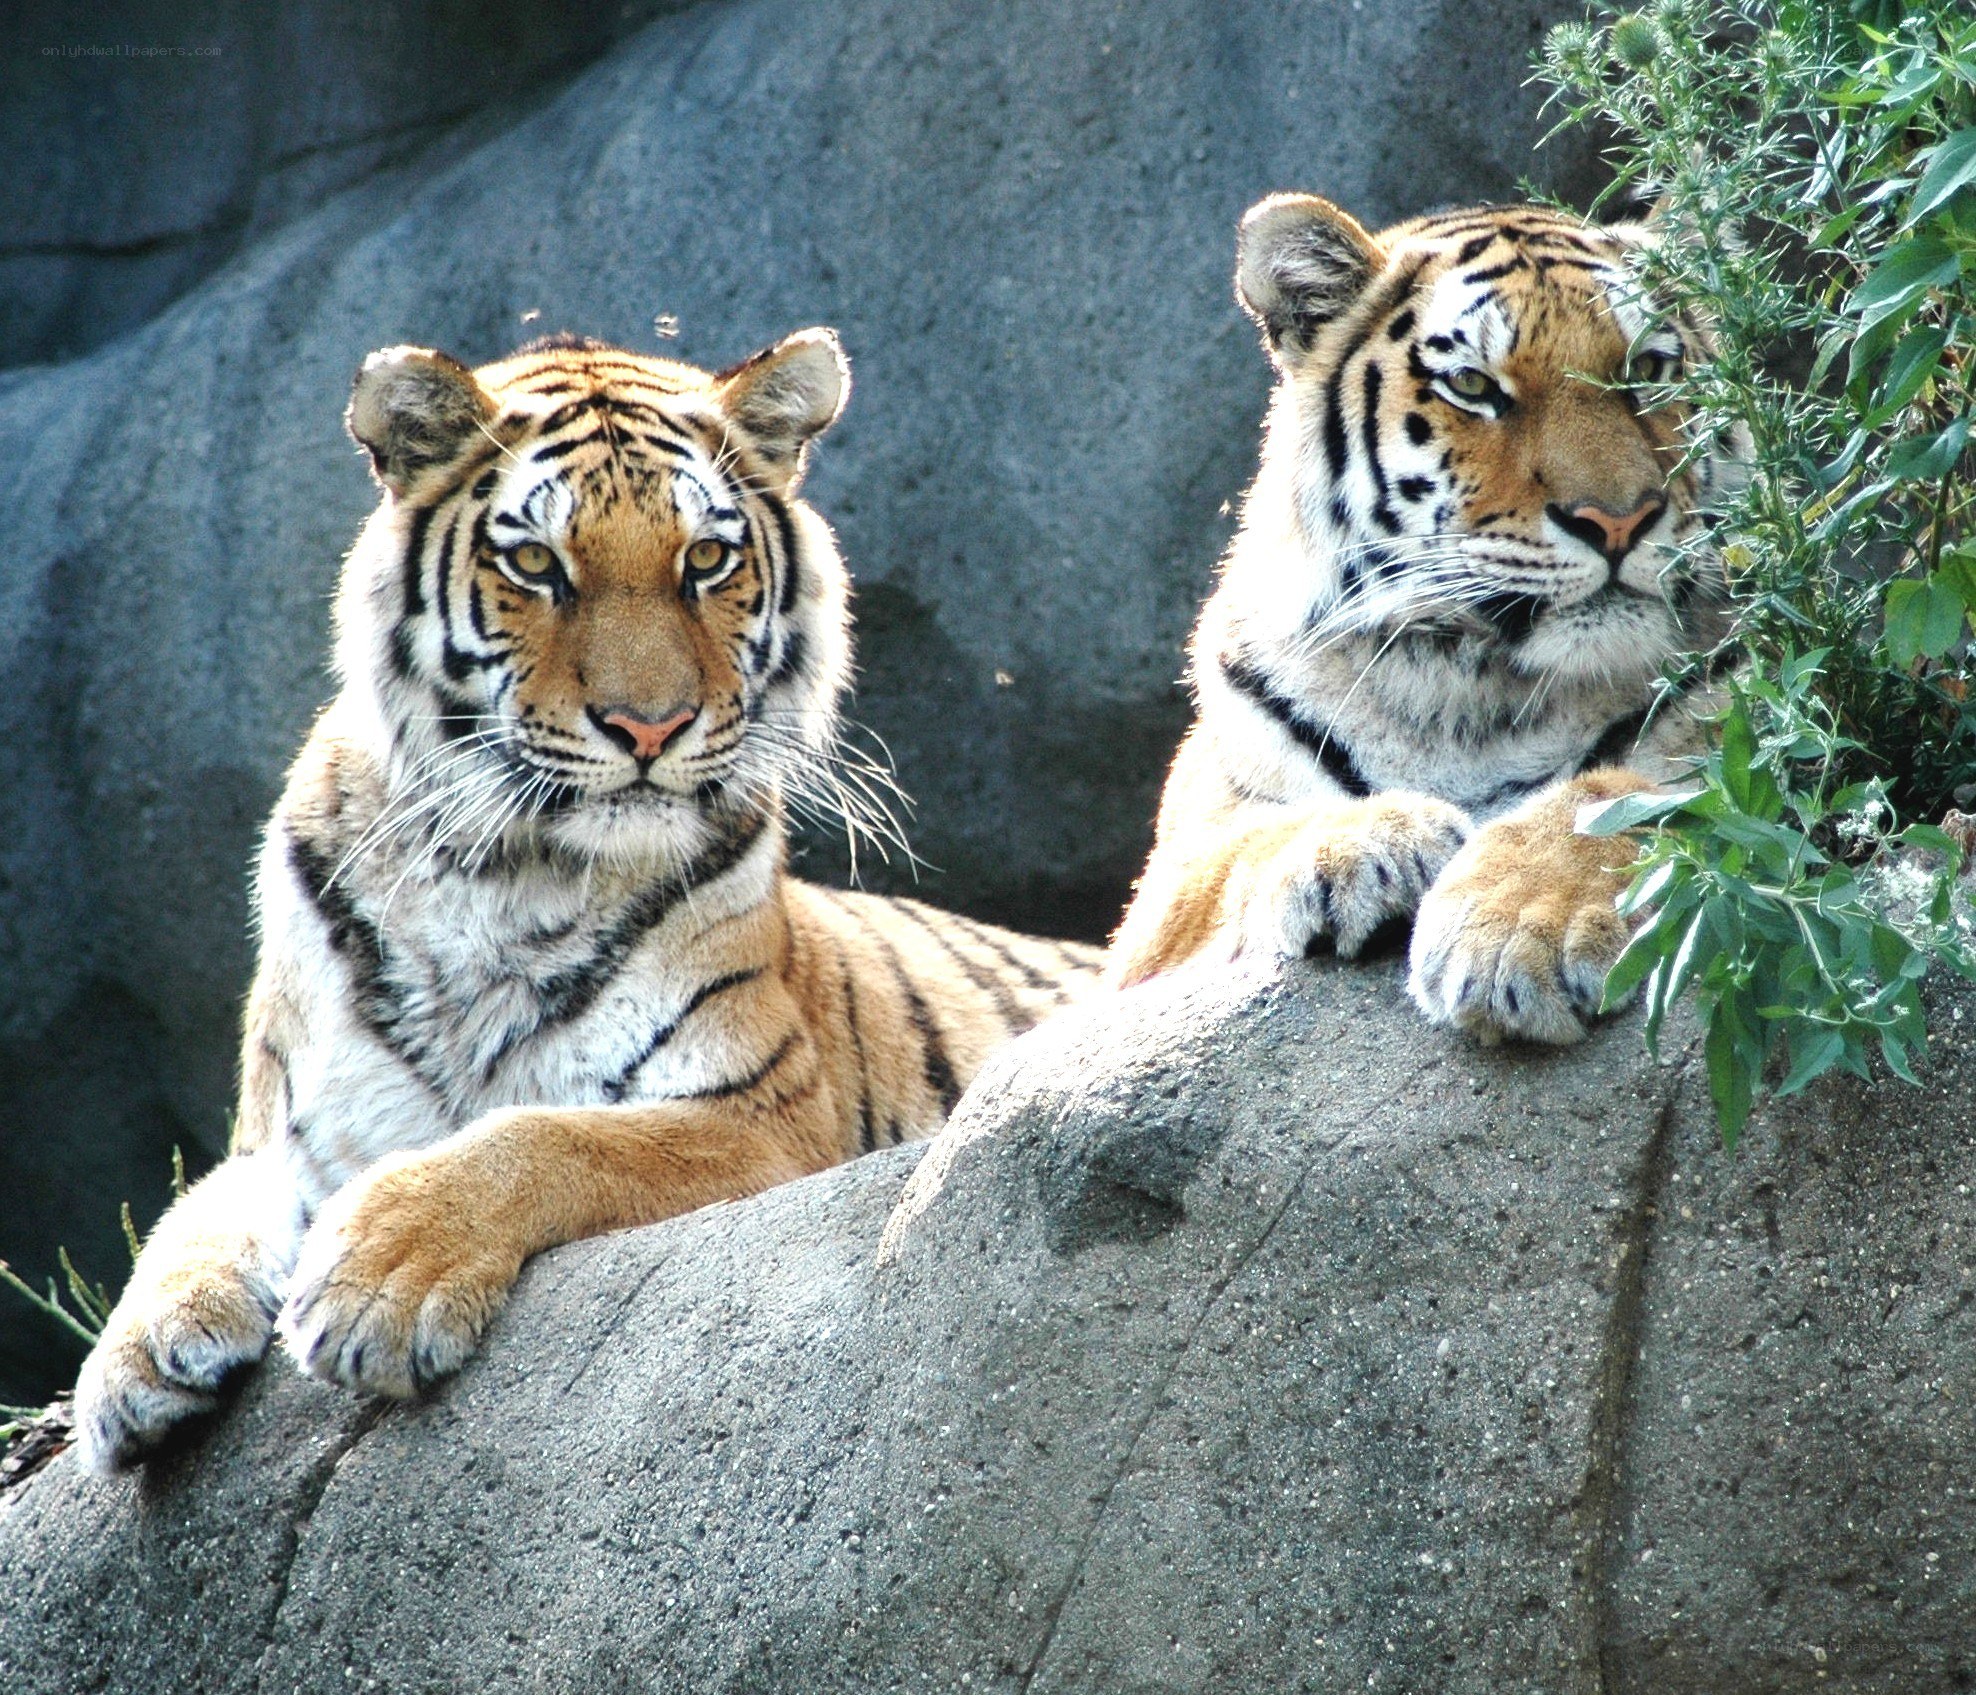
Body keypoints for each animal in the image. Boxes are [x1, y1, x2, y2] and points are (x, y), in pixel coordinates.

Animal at [74, 327, 1100, 1471]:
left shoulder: (765, 1124)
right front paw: (140, 1355)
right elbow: (201, 1206)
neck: (495, 875)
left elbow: (549, 1137)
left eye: (706, 560)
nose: (649, 725)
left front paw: (384, 1269)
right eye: (534, 564)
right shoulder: (296, 1134)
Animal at [1107, 193, 1742, 1040]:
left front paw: (1518, 925)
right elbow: (1231, 854)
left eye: (1646, 367)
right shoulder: (1150, 911)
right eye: (1472, 384)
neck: (1466, 689)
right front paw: (1362, 844)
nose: (1619, 521)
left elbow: (1624, 791)